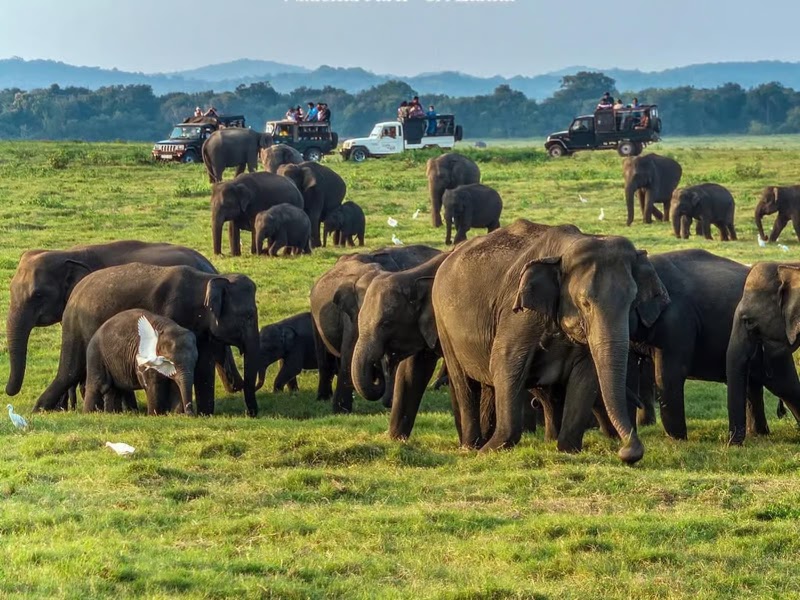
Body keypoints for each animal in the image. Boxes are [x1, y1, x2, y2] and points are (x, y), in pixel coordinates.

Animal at [33, 263, 260, 418]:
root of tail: (74, 293)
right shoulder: (172, 312)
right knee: (70, 371)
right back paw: (40, 410)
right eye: (249, 316)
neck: (208, 280)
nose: (251, 414)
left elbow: (204, 365)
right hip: (77, 326)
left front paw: (204, 414)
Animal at [310, 245, 441, 413]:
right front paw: (341, 411)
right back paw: (323, 398)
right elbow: (349, 354)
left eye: (387, 323)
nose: (376, 375)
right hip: (315, 318)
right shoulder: (351, 316)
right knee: (324, 358)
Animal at [432, 219, 670, 464]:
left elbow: (586, 374)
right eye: (585, 303)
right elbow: (506, 362)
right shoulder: (518, 314)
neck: (567, 248)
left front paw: (567, 450)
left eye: (632, 302)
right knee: (464, 382)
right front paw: (490, 451)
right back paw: (471, 447)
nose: (627, 452)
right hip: (442, 320)